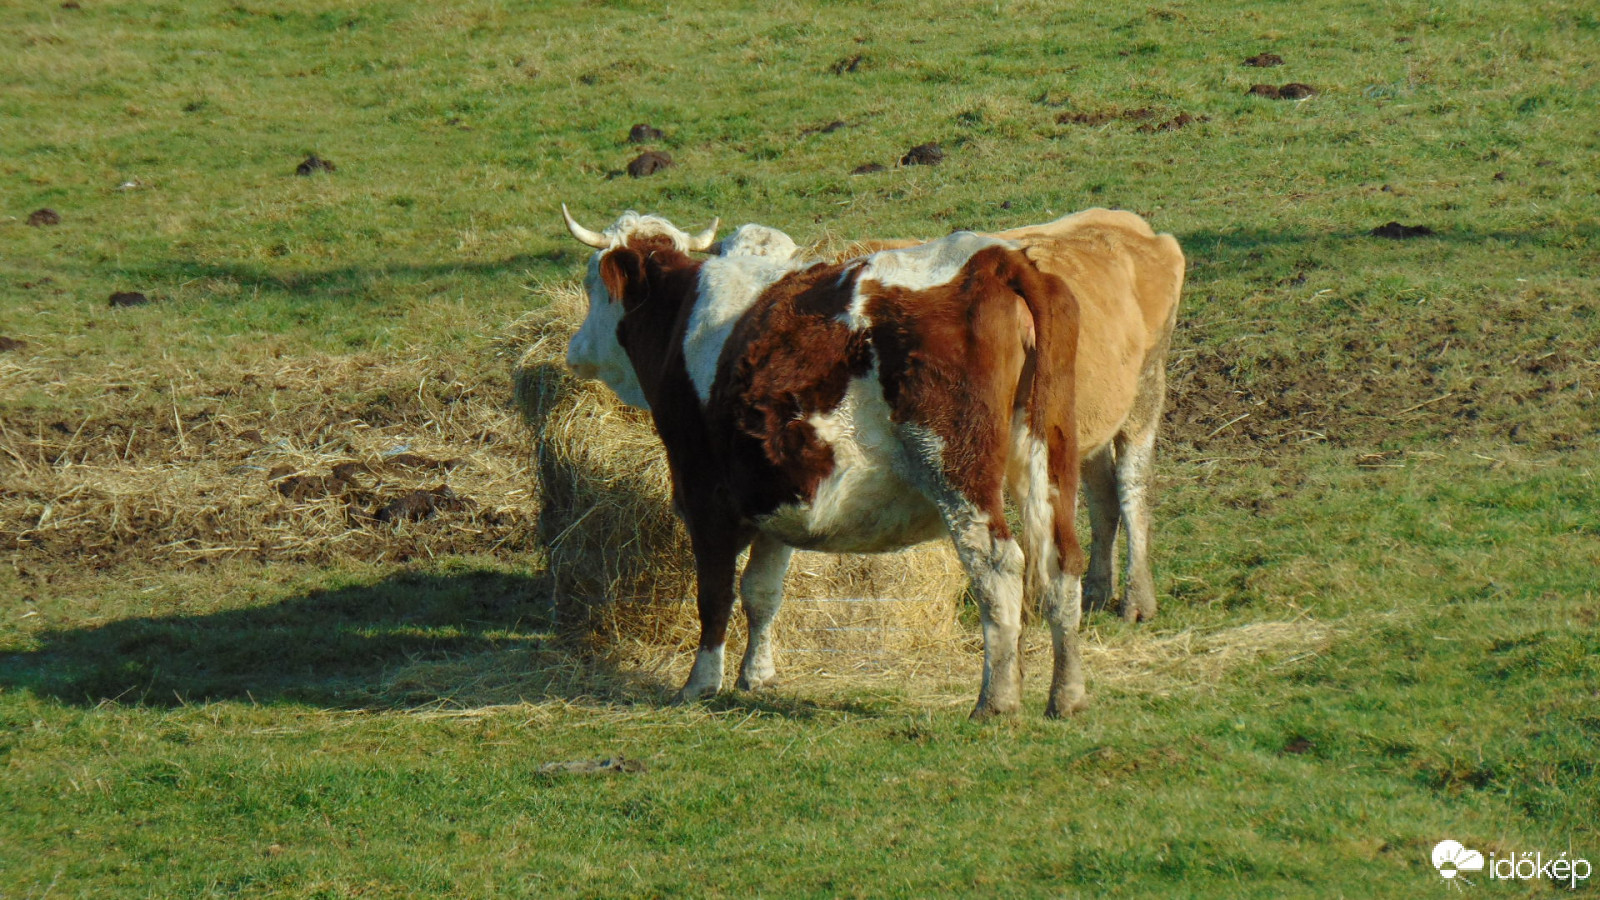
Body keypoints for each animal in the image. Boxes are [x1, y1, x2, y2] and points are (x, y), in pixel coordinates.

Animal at [560, 204, 1088, 714]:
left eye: (591, 281)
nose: (574, 350)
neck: (679, 316)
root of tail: (994, 258)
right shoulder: (773, 497)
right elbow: (762, 591)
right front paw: (757, 676)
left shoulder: (704, 490)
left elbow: (715, 593)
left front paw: (700, 684)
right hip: (1051, 458)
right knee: (1061, 563)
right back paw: (1066, 696)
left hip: (957, 469)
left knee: (998, 566)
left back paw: (995, 700)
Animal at [707, 214, 1184, 624]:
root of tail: (1125, 223)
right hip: (1080, 427)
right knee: (1101, 498)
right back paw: (1097, 591)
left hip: (1145, 391)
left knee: (1131, 487)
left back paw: (1136, 599)